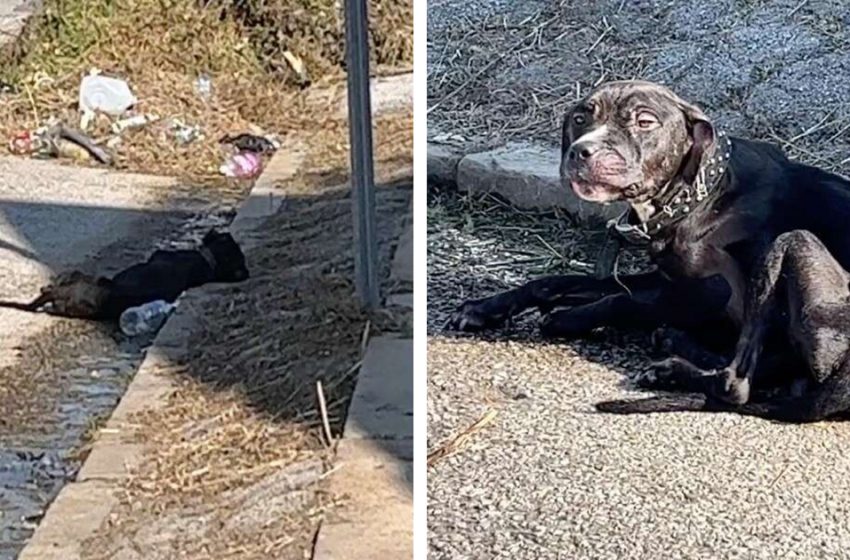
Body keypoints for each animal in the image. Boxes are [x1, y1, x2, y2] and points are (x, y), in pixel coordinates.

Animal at [448, 77, 848, 420]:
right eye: (580, 118)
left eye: (644, 122)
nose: (581, 152)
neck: (701, 193)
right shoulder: (665, 278)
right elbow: (555, 282)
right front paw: (485, 308)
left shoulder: (710, 293)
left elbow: (620, 302)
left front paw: (566, 318)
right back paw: (672, 347)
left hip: (789, 246)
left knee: (734, 384)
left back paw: (674, 361)